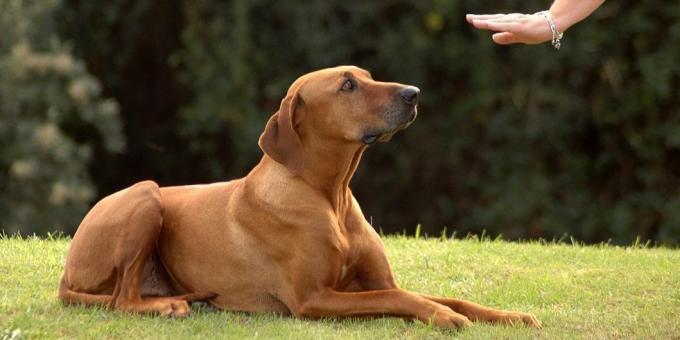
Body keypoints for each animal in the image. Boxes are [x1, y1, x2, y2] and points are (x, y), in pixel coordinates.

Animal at [58, 65, 540, 328]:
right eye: (347, 86)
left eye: (368, 77)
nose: (413, 93)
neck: (330, 196)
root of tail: (66, 272)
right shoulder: (313, 299)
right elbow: (401, 299)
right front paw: (443, 318)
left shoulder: (377, 280)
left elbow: (444, 296)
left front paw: (510, 316)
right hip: (146, 195)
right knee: (121, 300)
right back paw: (168, 307)